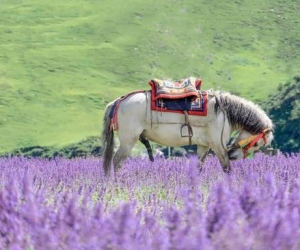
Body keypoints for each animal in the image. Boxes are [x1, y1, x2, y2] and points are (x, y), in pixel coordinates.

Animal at [101, 90, 274, 176]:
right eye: (257, 144)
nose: (234, 156)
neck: (224, 112)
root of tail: (119, 101)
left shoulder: (204, 146)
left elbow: (198, 167)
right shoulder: (218, 146)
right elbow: (227, 168)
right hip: (128, 141)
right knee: (117, 162)